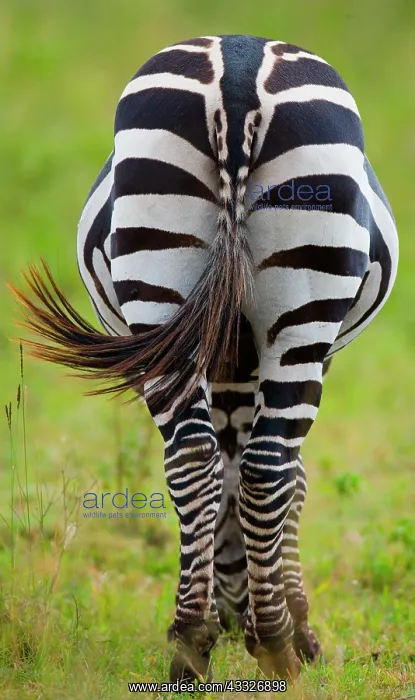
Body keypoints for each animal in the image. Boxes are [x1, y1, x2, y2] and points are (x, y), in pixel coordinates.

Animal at [12, 34, 398, 682]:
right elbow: (291, 480)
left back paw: (193, 641)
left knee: (196, 458)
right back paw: (275, 642)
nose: (237, 618)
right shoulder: (303, 360)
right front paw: (297, 631)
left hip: (161, 291)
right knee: (268, 465)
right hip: (300, 321)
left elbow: (228, 469)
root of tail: (238, 71)